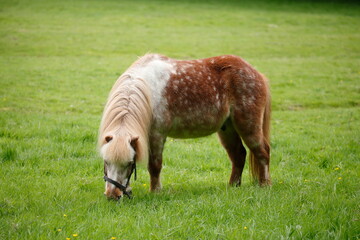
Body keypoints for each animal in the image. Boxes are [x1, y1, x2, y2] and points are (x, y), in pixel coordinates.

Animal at [97, 53, 272, 200]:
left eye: (129, 163)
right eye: (106, 161)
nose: (113, 195)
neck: (148, 90)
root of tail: (256, 73)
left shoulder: (157, 135)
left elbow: (154, 166)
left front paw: (155, 191)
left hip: (248, 126)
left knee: (262, 152)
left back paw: (265, 185)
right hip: (227, 129)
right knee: (238, 155)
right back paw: (233, 186)